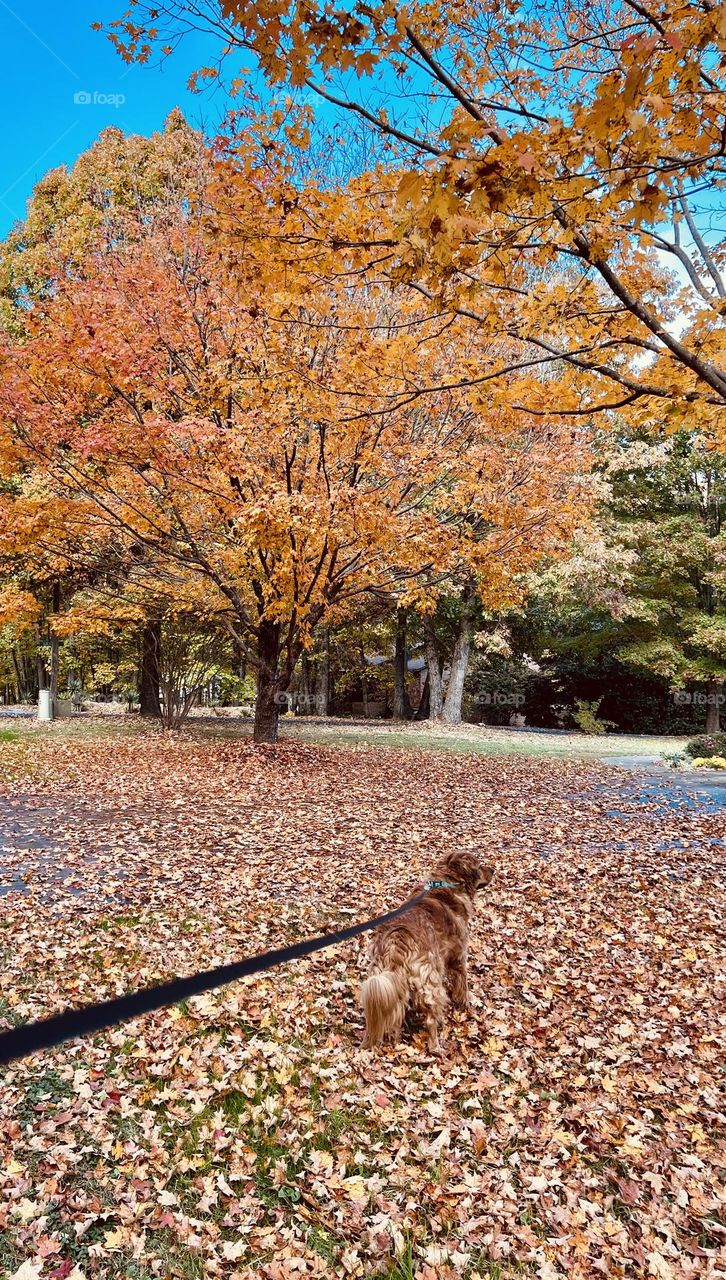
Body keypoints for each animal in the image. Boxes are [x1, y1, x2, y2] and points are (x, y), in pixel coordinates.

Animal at [358, 849, 494, 1049]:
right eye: (479, 866)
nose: (492, 869)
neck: (448, 882)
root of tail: (398, 936)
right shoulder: (459, 957)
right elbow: (463, 986)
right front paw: (467, 1006)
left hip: (384, 981)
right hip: (430, 981)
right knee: (430, 1019)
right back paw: (436, 1046)